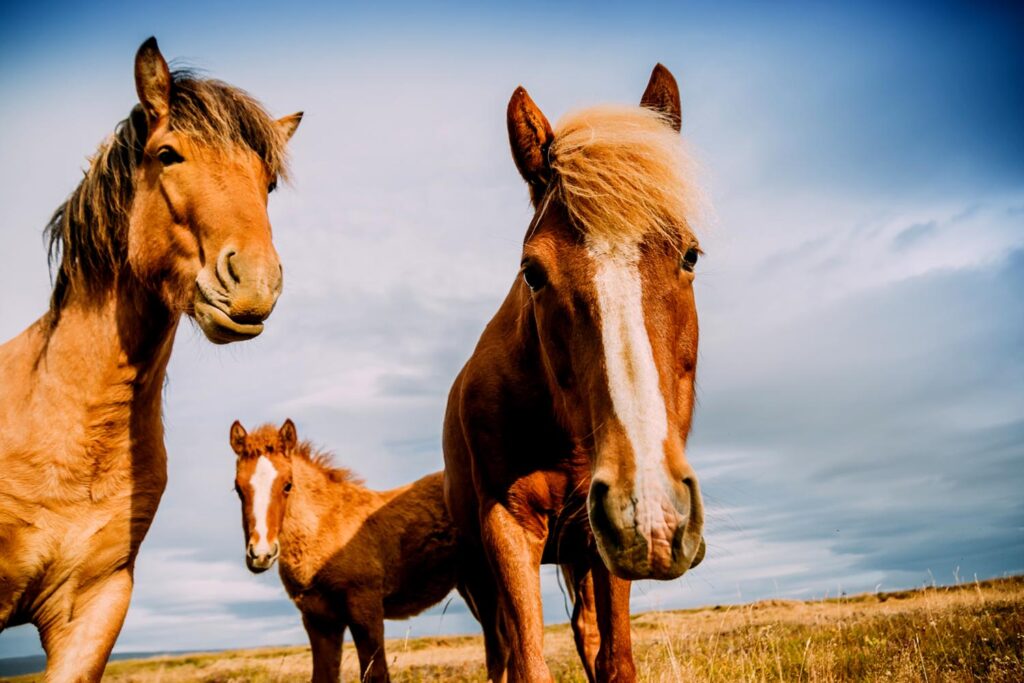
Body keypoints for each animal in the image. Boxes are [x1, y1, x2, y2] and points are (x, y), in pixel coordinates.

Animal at [230, 421, 462, 683]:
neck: (326, 528)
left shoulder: (366, 608)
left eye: (287, 485)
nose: (261, 554)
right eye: (238, 488)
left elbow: (376, 675)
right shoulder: (319, 620)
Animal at [444, 63, 708, 683]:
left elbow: (613, 658)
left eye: (689, 255)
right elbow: (527, 661)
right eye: (532, 271)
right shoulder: (510, 530)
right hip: (480, 575)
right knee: (500, 648)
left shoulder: (602, 540)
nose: (651, 507)